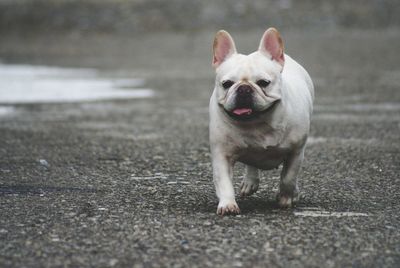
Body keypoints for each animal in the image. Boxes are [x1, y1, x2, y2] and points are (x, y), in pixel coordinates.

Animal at [208, 28, 314, 215]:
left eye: (264, 83)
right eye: (226, 84)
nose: (244, 88)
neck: (256, 123)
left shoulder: (296, 152)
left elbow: (288, 177)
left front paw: (285, 198)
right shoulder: (222, 154)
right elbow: (224, 182)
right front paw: (228, 204)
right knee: (251, 164)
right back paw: (250, 182)